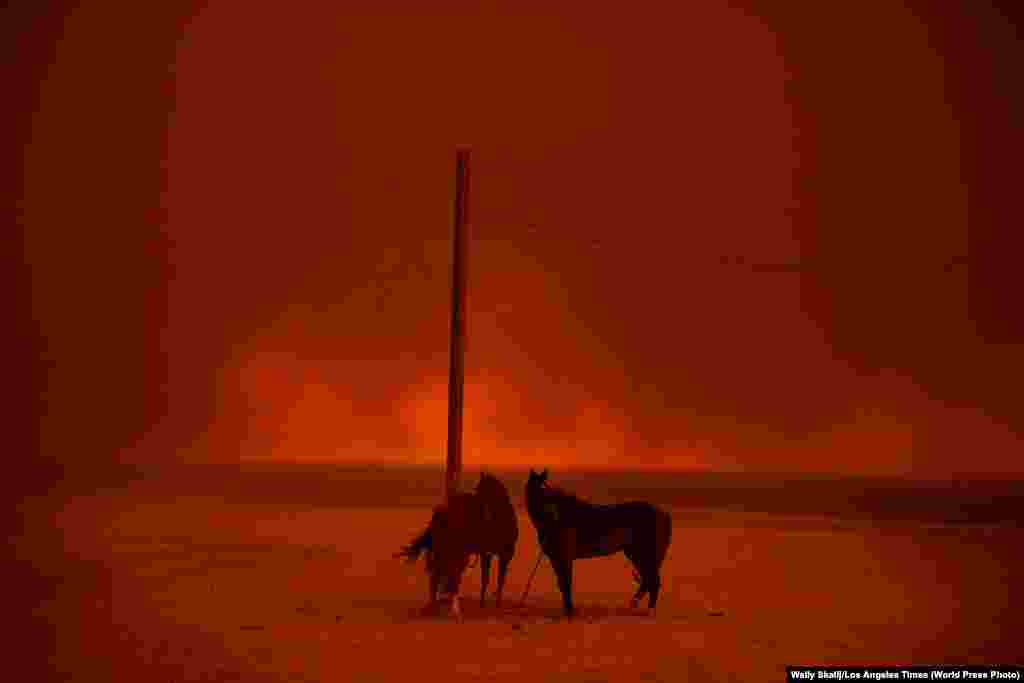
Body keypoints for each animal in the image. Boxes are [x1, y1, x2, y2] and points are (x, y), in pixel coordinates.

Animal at [393, 473, 520, 618]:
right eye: (478, 490)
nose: (482, 512)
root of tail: (440, 513)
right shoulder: (503, 554)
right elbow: (497, 579)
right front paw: (493, 604)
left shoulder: (489, 554)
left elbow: (488, 578)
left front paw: (484, 604)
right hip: (453, 552)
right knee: (444, 576)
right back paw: (449, 609)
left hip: (446, 551)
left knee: (439, 575)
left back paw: (436, 606)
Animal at [528, 471, 671, 618]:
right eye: (540, 492)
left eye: (549, 494)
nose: (553, 515)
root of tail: (663, 514)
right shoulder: (556, 559)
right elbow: (562, 584)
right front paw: (567, 610)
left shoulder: (564, 558)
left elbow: (566, 583)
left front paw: (570, 612)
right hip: (635, 553)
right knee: (648, 579)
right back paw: (635, 604)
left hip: (643, 553)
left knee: (653, 580)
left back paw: (648, 610)